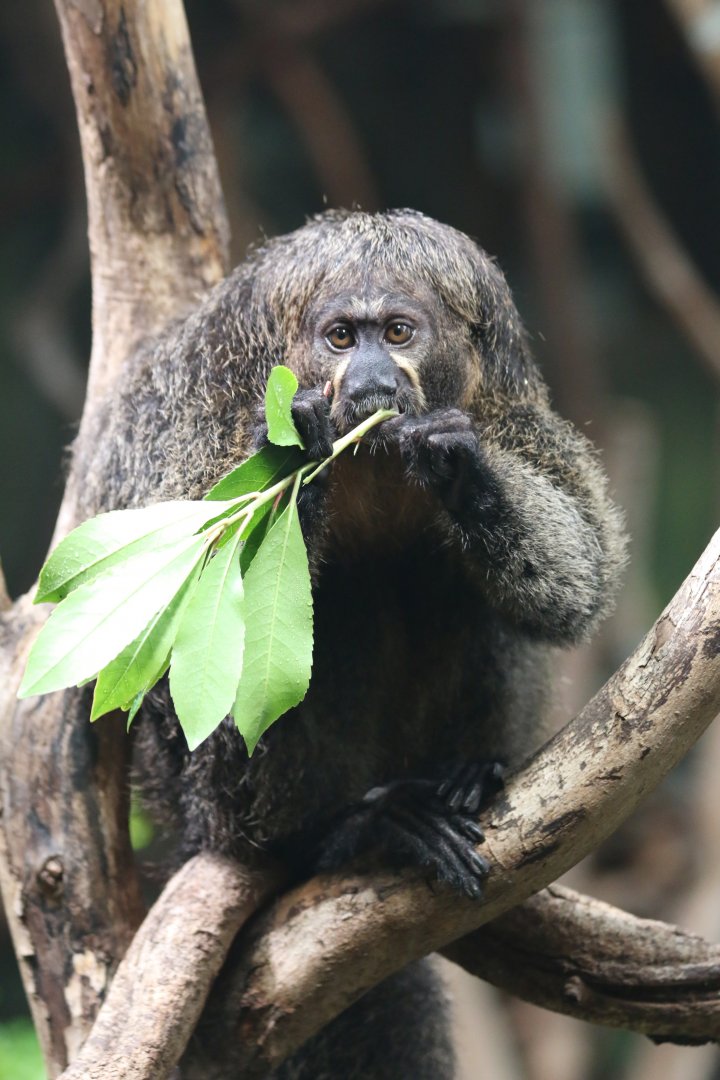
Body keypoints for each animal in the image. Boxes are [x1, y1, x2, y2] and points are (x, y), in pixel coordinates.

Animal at [70, 209, 627, 1078]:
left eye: (397, 331)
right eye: (340, 338)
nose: (368, 374)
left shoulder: (503, 402)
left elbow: (579, 581)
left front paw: (459, 469)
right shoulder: (191, 417)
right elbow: (159, 625)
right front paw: (297, 454)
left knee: (452, 581)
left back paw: (463, 774)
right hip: (203, 803)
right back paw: (340, 833)